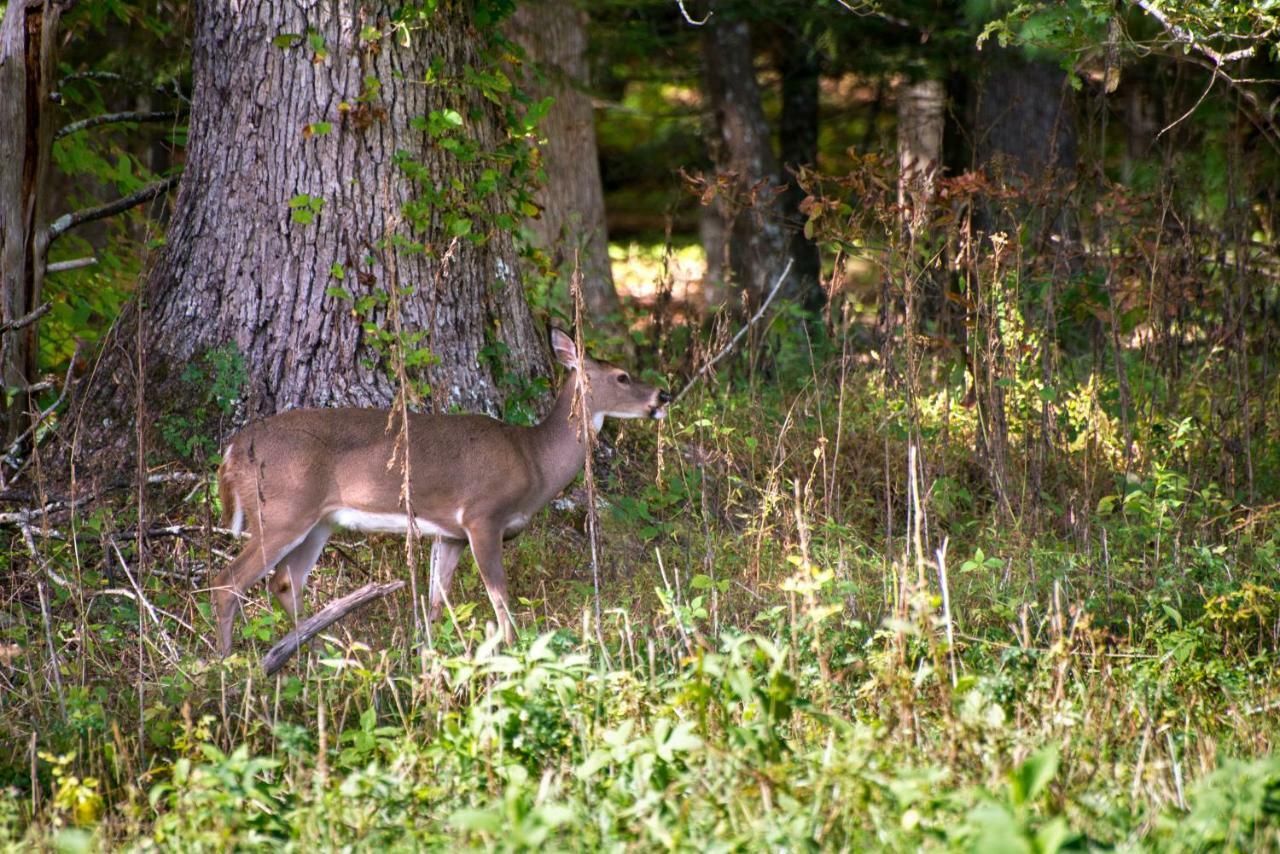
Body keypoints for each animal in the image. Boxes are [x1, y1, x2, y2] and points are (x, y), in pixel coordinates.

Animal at [212, 330, 670, 660]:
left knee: (284, 582)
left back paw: (316, 653)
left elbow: (436, 602)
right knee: (228, 581)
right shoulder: (483, 516)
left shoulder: (449, 533)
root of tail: (233, 449)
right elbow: (500, 598)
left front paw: (428, 653)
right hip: (283, 509)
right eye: (622, 376)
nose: (662, 395)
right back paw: (227, 661)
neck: (534, 459)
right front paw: (514, 652)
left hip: (320, 521)